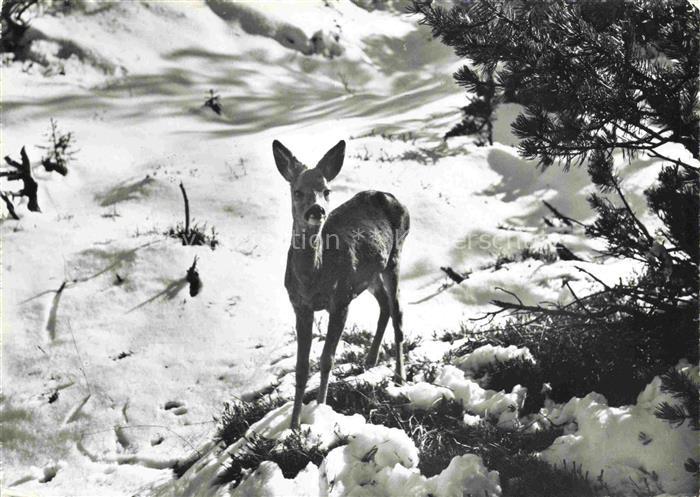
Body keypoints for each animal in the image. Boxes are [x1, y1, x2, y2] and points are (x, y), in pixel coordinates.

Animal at [273, 139, 410, 430]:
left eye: (326, 191)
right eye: (297, 191)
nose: (317, 210)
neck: (314, 277)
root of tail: (391, 196)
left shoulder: (340, 301)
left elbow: (327, 359)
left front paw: (320, 409)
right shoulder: (300, 306)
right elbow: (301, 368)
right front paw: (293, 425)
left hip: (394, 259)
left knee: (398, 313)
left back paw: (400, 376)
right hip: (369, 275)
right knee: (385, 306)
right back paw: (370, 360)